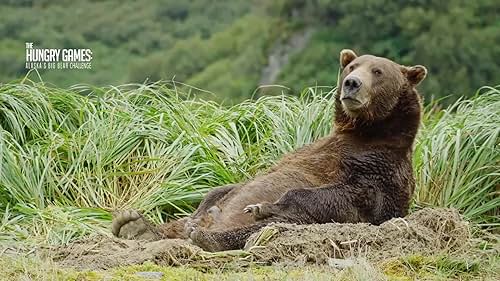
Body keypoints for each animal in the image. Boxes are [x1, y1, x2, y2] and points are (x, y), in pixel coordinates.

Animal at [112, 48, 426, 252]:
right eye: (352, 66)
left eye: (378, 71)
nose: (352, 84)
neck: (363, 130)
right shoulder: (310, 149)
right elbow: (234, 184)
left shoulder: (378, 171)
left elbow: (346, 197)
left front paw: (264, 205)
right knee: (189, 217)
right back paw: (138, 225)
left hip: (293, 224)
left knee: (266, 227)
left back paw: (206, 236)